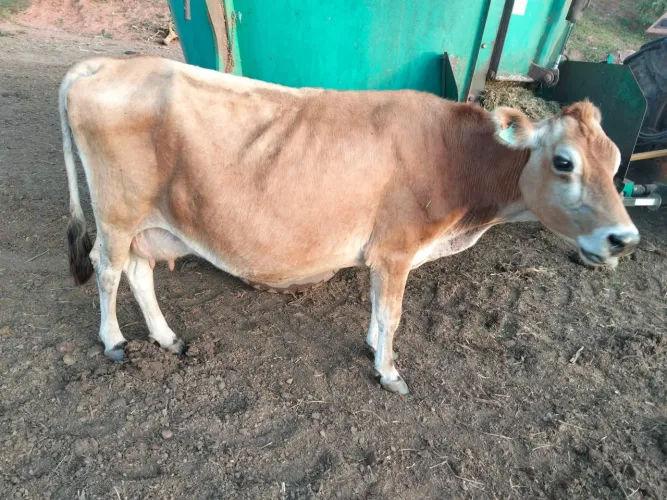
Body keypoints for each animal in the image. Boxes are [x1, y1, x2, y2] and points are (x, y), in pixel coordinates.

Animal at [59, 56, 639, 395]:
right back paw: (114, 342)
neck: (454, 157)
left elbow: (378, 309)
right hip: (117, 212)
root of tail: (104, 63)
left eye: (615, 162)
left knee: (138, 271)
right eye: (563, 162)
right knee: (107, 269)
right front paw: (390, 371)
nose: (625, 238)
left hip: (146, 221)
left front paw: (371, 347)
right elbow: (393, 314)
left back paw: (166, 337)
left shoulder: (384, 254)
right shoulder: (398, 249)